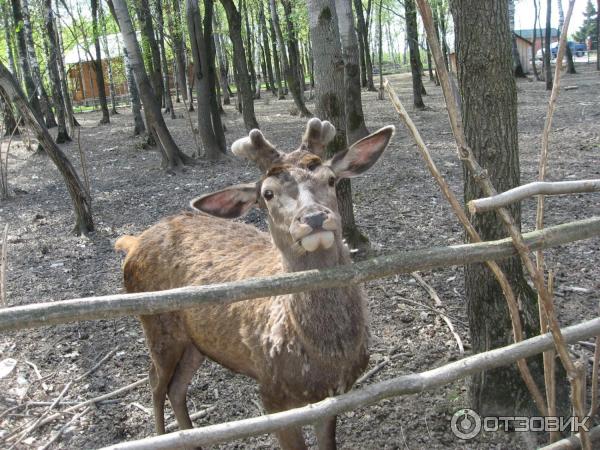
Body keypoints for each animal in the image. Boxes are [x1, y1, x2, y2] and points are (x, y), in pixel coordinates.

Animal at [115, 118, 396, 448]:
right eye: (268, 193)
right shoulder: (271, 395)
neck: (325, 356)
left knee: (176, 387)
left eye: (330, 179)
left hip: (196, 342)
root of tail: (133, 243)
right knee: (155, 383)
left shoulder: (334, 394)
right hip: (156, 326)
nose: (314, 218)